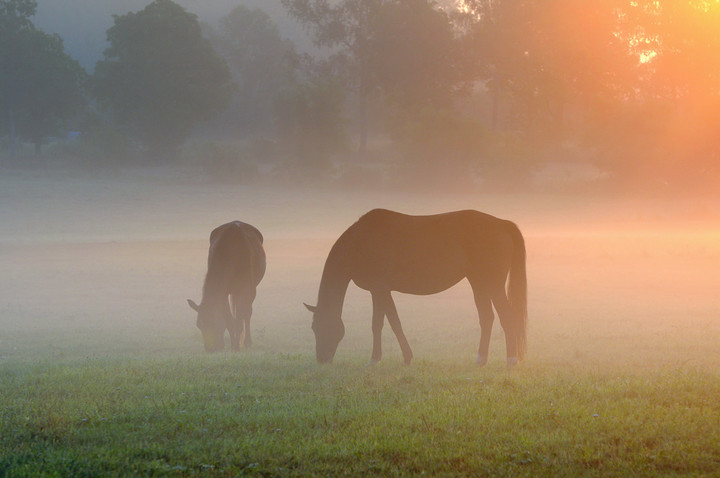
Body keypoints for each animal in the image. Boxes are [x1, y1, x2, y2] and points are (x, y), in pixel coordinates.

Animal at [187, 220, 266, 352]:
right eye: (199, 325)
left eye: (215, 323)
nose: (210, 349)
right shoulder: (224, 291)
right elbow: (229, 319)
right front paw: (231, 345)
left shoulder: (247, 287)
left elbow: (241, 317)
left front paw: (237, 347)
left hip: (252, 287)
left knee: (247, 312)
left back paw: (247, 342)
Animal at [306, 208, 528, 366]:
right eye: (313, 328)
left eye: (320, 327)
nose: (322, 360)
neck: (360, 242)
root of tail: (501, 223)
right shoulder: (382, 291)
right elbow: (390, 322)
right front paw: (401, 357)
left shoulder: (378, 290)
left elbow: (382, 323)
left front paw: (379, 359)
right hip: (479, 283)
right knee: (487, 318)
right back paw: (481, 359)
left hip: (493, 285)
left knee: (507, 317)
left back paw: (511, 360)